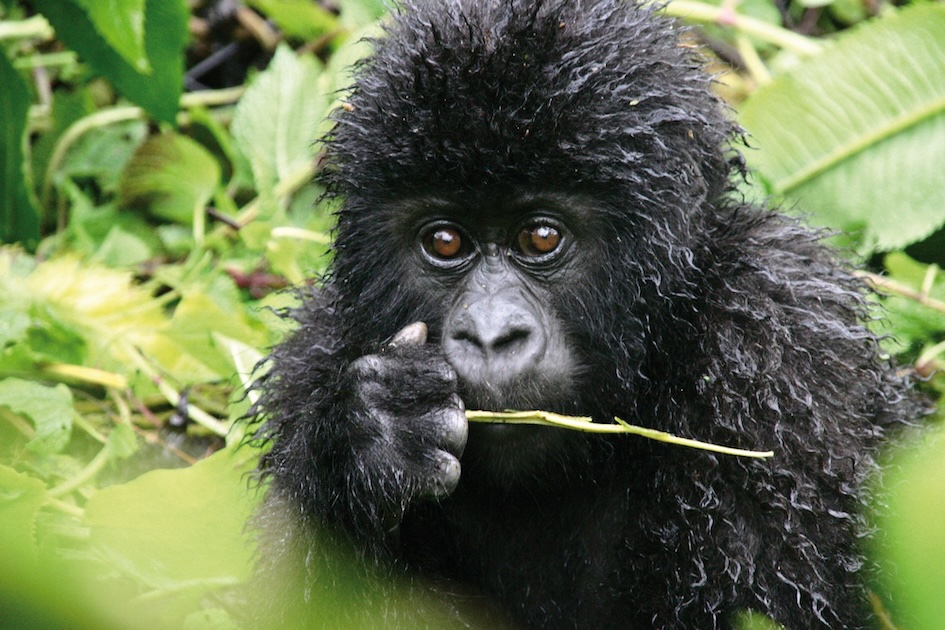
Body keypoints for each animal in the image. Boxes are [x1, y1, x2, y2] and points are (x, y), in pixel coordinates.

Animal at [247, 1, 920, 628]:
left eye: (541, 237)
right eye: (445, 241)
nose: (491, 335)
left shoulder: (779, 350)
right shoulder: (315, 359)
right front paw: (372, 436)